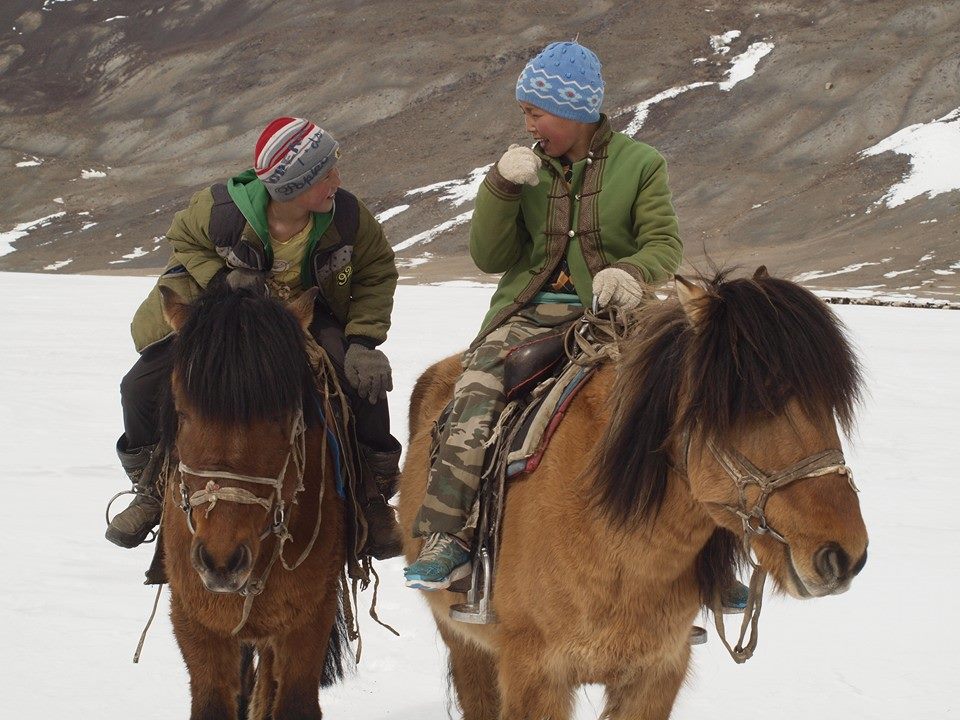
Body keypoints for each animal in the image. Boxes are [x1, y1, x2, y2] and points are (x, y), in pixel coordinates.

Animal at [158, 286, 348, 720]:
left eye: (281, 415)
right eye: (182, 413)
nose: (221, 562)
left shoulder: (309, 619)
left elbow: (292, 701)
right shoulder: (196, 623)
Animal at [398, 270, 872, 720]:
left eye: (829, 403)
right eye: (754, 400)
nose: (844, 556)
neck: (620, 550)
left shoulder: (658, 672)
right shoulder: (535, 673)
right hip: (463, 641)